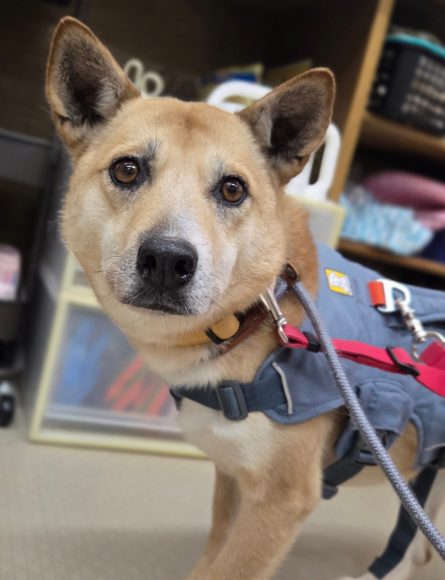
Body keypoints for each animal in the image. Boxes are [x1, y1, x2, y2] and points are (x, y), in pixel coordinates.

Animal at [45, 17, 445, 580]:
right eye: (127, 170)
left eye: (232, 189)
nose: (167, 260)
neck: (253, 318)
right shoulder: (233, 478)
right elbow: (212, 553)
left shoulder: (280, 501)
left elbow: (229, 565)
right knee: (418, 548)